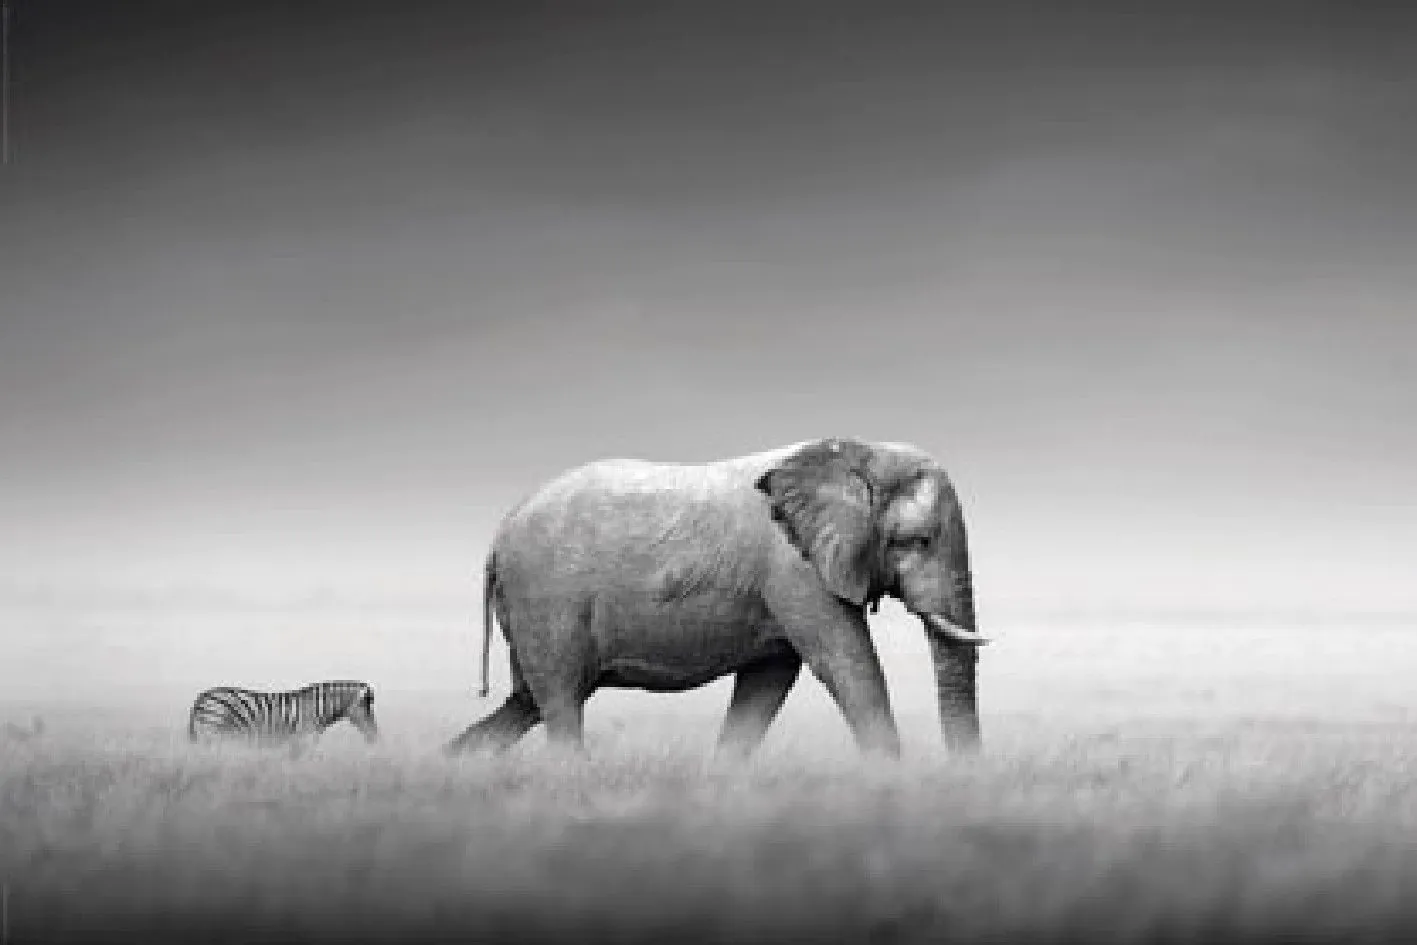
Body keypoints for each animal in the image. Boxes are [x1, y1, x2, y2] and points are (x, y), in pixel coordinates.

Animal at [187, 680, 379, 746]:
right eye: (367, 709)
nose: (375, 737)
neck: (317, 709)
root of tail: (201, 697)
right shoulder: (303, 741)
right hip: (213, 733)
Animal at [445, 437, 986, 760]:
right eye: (917, 542)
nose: (960, 780)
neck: (858, 453)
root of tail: (497, 539)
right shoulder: (794, 568)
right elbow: (849, 666)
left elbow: (766, 684)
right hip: (546, 598)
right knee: (559, 700)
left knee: (527, 701)